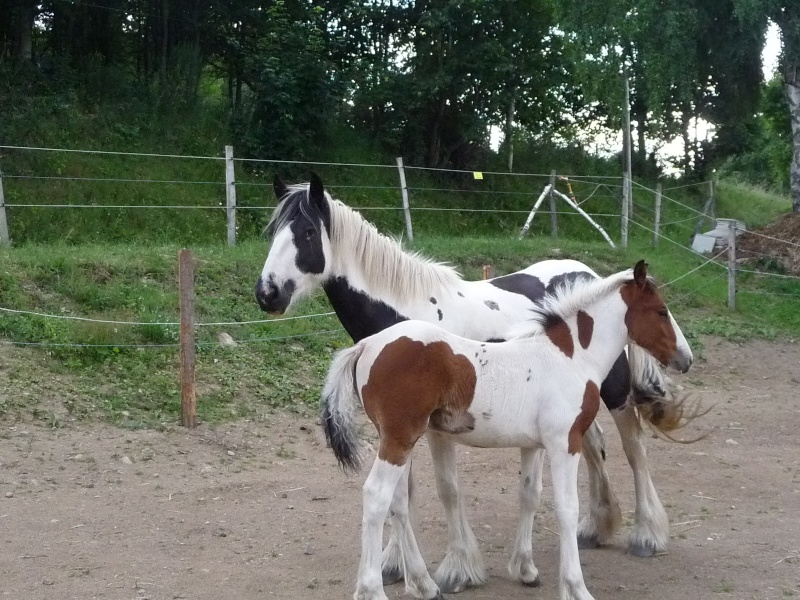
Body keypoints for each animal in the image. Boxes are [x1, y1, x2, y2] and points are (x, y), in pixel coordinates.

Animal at [322, 262, 692, 600]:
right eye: (661, 311)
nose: (685, 359)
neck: (570, 358)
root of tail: (365, 346)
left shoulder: (534, 445)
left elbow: (530, 495)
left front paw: (526, 570)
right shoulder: (564, 443)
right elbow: (567, 509)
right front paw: (576, 587)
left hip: (399, 440)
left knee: (397, 501)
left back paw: (425, 585)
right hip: (400, 438)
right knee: (376, 496)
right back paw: (372, 590)